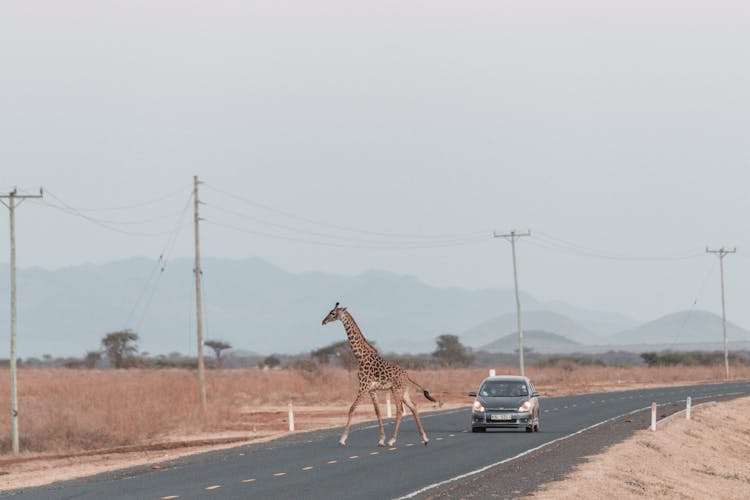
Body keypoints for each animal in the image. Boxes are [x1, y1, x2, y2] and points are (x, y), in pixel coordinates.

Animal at [320, 300, 438, 446]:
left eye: (333, 313)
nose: (323, 321)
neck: (361, 357)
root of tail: (407, 376)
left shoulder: (363, 387)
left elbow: (352, 409)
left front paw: (342, 439)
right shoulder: (372, 389)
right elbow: (378, 412)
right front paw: (381, 439)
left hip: (396, 390)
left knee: (400, 411)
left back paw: (392, 440)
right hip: (404, 391)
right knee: (414, 407)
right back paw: (424, 438)